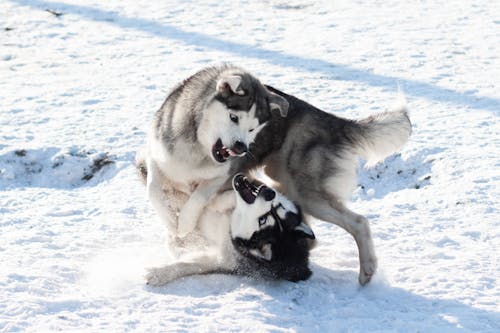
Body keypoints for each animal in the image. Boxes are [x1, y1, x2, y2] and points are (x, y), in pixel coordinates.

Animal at [141, 63, 290, 240]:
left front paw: (185, 223)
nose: (241, 148)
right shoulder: (158, 154)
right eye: (234, 117)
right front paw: (170, 220)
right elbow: (152, 189)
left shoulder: (222, 174)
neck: (198, 148)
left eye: (252, 129)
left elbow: (199, 196)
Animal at [146, 172, 316, 284]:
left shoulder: (225, 262)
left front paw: (159, 274)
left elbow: (188, 264)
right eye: (277, 207)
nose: (269, 193)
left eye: (262, 220)